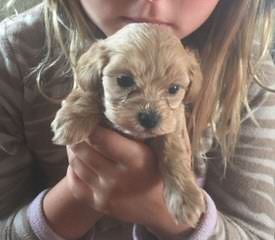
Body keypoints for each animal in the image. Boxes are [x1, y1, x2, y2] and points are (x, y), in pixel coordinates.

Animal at [52, 22, 207, 227]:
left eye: (174, 88)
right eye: (124, 80)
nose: (149, 118)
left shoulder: (173, 122)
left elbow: (173, 150)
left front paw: (185, 198)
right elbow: (89, 93)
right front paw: (72, 119)